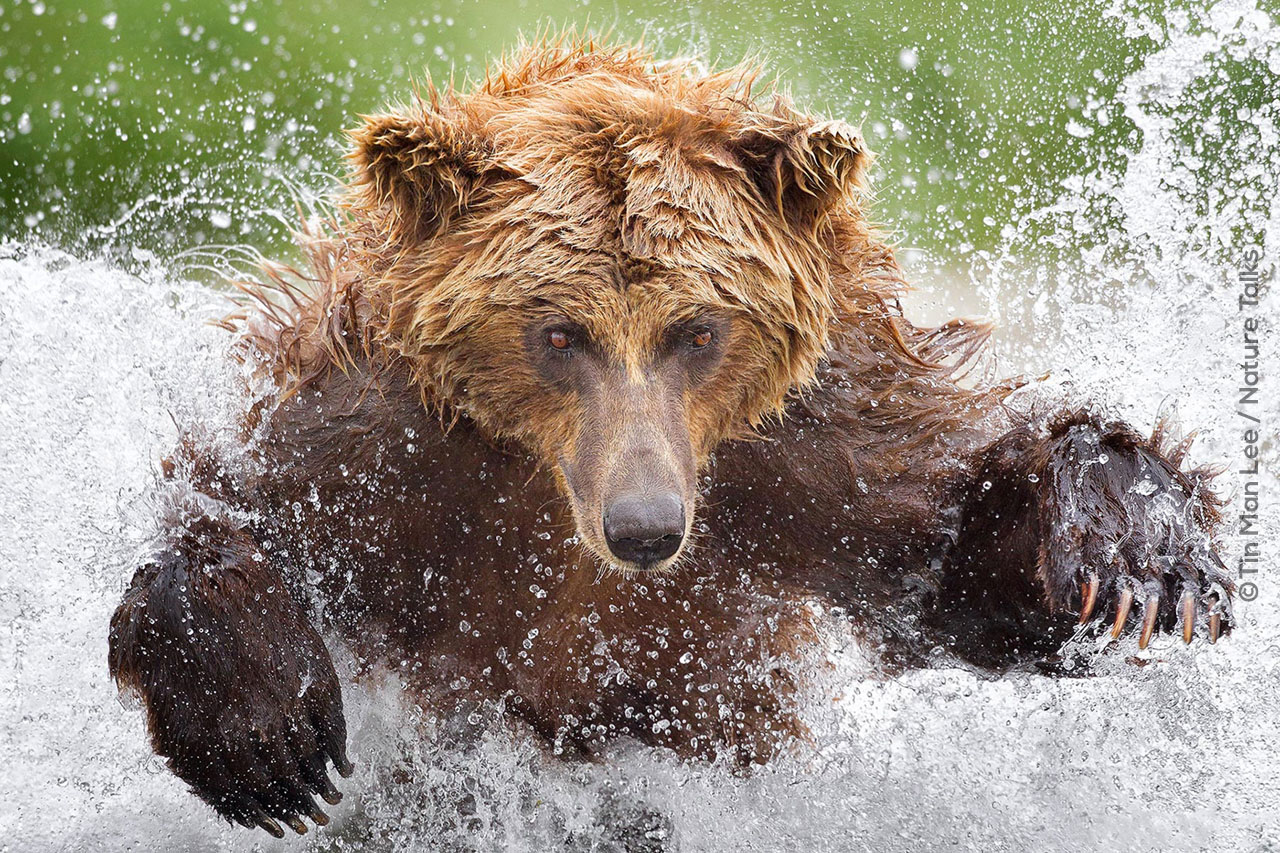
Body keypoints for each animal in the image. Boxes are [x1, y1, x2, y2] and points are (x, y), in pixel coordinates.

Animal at [107, 34, 1228, 835]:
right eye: (558, 332)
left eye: (698, 329)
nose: (643, 527)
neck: (551, 483)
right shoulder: (384, 447)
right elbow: (231, 507)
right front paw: (272, 744)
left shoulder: (819, 460)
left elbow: (954, 574)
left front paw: (1136, 560)